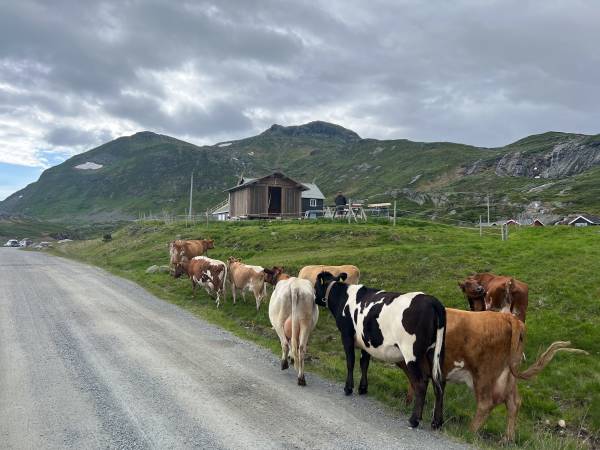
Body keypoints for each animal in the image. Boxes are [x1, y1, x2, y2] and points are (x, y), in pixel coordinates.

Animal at [316, 270, 448, 428]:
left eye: (315, 285)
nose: (314, 297)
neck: (344, 298)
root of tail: (433, 301)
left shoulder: (346, 336)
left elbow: (350, 362)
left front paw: (348, 388)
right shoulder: (366, 342)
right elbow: (364, 364)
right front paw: (363, 388)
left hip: (411, 353)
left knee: (421, 383)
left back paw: (414, 419)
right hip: (435, 352)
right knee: (439, 382)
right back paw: (437, 422)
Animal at [404, 308, 584, 442]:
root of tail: (508, 317)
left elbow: (416, 383)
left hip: (483, 375)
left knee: (486, 403)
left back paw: (469, 431)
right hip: (507, 376)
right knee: (514, 403)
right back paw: (507, 439)